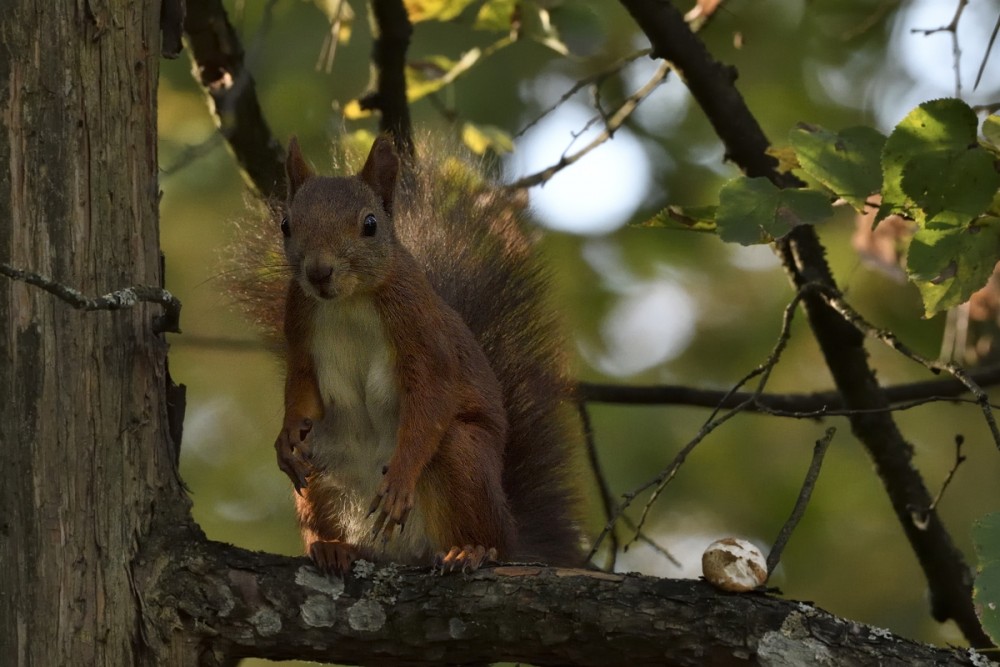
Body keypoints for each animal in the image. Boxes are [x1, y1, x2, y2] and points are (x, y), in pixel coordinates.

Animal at [266, 134, 584, 576]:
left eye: (370, 225)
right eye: (286, 224)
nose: (318, 272)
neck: (349, 302)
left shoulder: (422, 335)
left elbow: (430, 399)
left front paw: (400, 478)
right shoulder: (299, 329)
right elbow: (301, 387)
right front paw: (285, 437)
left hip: (463, 458)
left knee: (483, 523)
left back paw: (473, 550)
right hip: (321, 470)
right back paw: (334, 547)